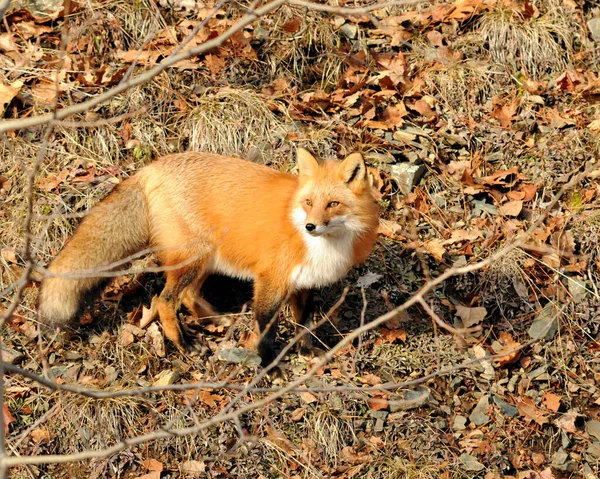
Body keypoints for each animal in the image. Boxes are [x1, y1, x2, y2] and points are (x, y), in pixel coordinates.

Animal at [37, 148, 378, 366]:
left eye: (333, 204)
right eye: (308, 202)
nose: (310, 226)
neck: (326, 247)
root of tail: (152, 166)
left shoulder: (305, 283)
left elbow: (304, 324)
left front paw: (307, 353)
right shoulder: (270, 281)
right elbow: (267, 329)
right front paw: (268, 365)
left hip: (206, 260)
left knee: (188, 295)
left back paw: (216, 320)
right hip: (193, 258)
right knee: (165, 301)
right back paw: (185, 344)